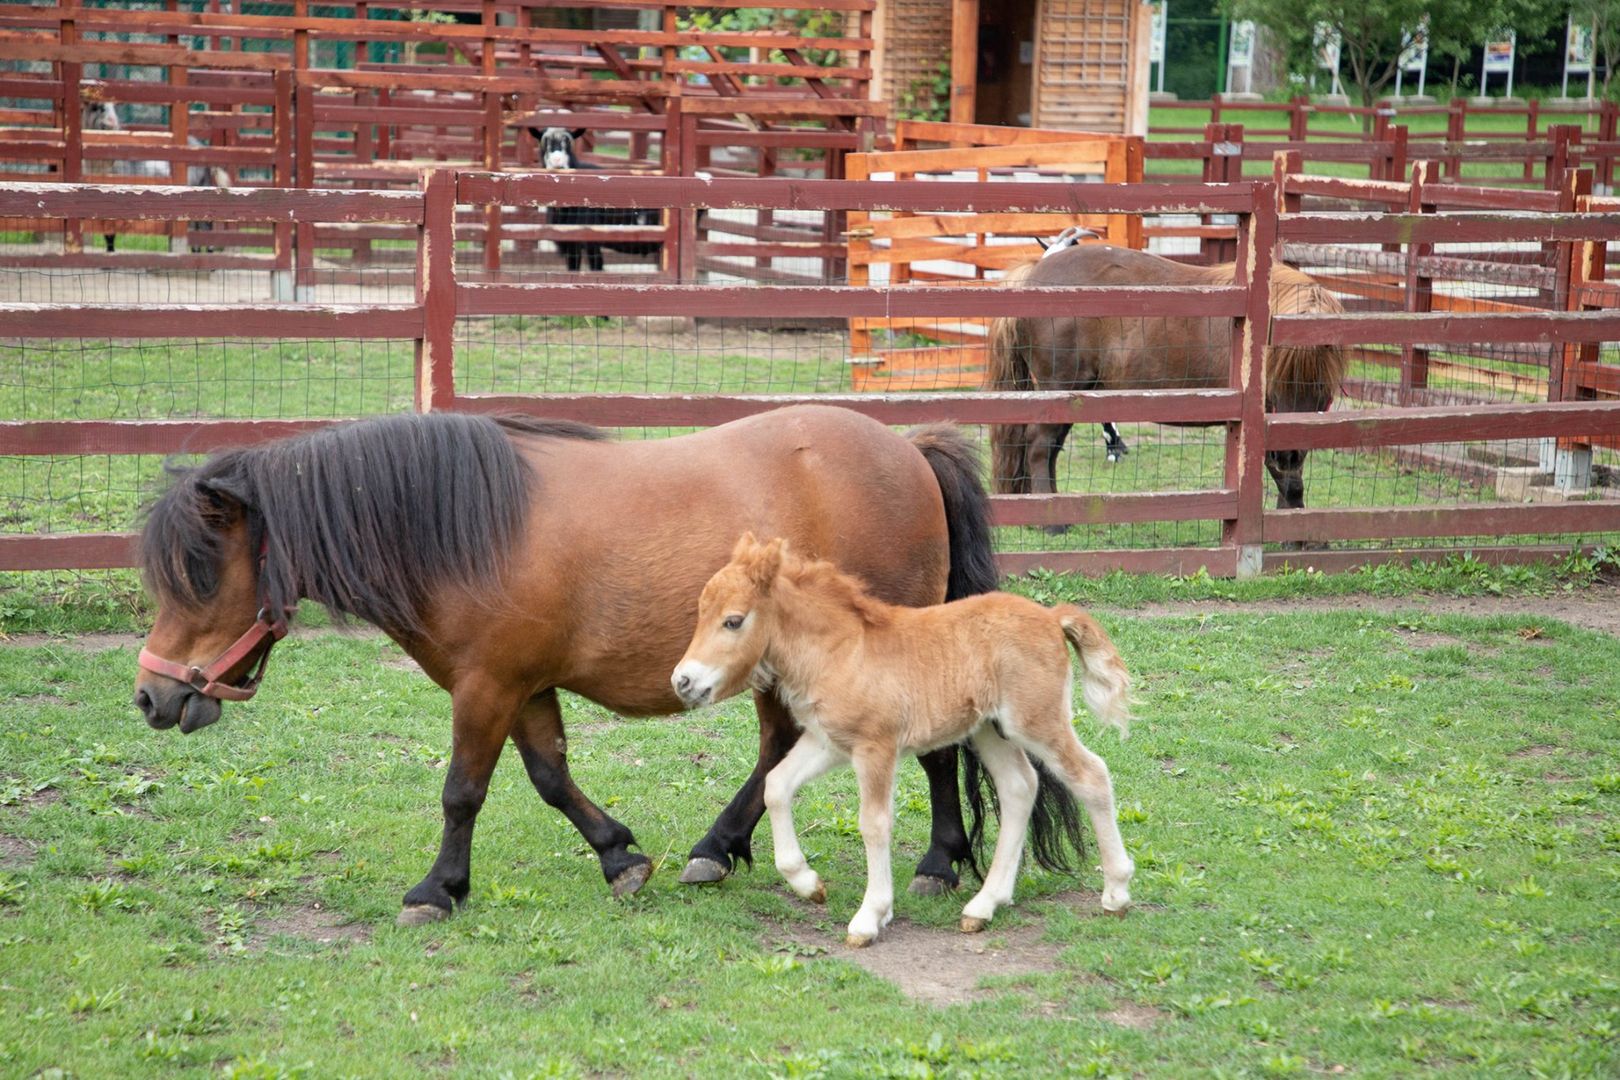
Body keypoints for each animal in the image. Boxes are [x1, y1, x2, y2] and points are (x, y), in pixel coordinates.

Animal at [136, 409, 997, 926]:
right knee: (775, 754)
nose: (150, 696)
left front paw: (436, 890)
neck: (466, 529)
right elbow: (550, 779)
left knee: (934, 752)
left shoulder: (486, 688)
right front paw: (620, 855)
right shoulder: (522, 689)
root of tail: (908, 449)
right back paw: (716, 847)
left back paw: (939, 862)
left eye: (200, 576)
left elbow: (462, 792)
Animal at [528, 127, 660, 272]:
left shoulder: (591, 240)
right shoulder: (570, 244)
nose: (558, 161)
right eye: (545, 144)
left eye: (568, 144)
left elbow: (596, 268)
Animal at [667, 537, 1127, 952]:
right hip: (989, 729)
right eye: (701, 613)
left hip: (1036, 721)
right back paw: (984, 905)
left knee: (1091, 775)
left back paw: (1116, 893)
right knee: (1019, 788)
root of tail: (1052, 616)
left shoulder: (876, 748)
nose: (682, 681)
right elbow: (777, 785)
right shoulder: (829, 741)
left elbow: (874, 824)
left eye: (733, 621)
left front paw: (870, 917)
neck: (842, 651)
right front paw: (807, 883)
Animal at [984, 246, 1341, 514]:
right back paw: (1050, 522)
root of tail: (1034, 273)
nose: (1288, 452)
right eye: (1278, 381)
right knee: (1039, 446)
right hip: (1059, 391)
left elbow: (1290, 478)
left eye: (1320, 387)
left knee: (1050, 449)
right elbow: (1288, 480)